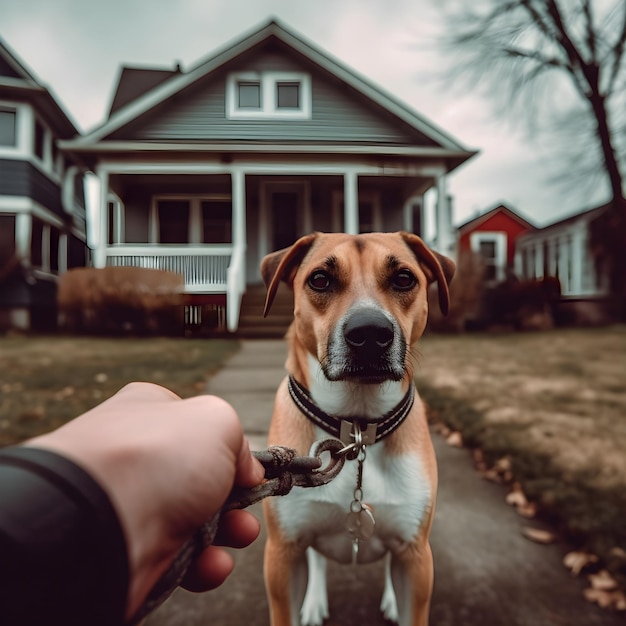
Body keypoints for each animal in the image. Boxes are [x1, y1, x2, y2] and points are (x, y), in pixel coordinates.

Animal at [260, 230, 454, 624]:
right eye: (320, 279)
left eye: (404, 278)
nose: (369, 332)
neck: (358, 429)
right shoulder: (282, 557)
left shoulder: (416, 558)